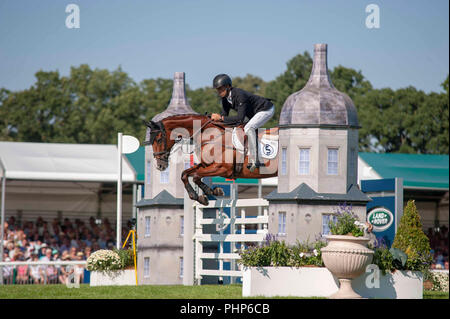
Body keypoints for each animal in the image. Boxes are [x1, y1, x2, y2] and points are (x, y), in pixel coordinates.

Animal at [144, 114, 278, 205]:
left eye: (159, 139)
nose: (160, 166)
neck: (211, 136)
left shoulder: (222, 169)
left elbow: (196, 176)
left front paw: (212, 192)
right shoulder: (205, 165)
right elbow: (184, 174)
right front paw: (199, 196)